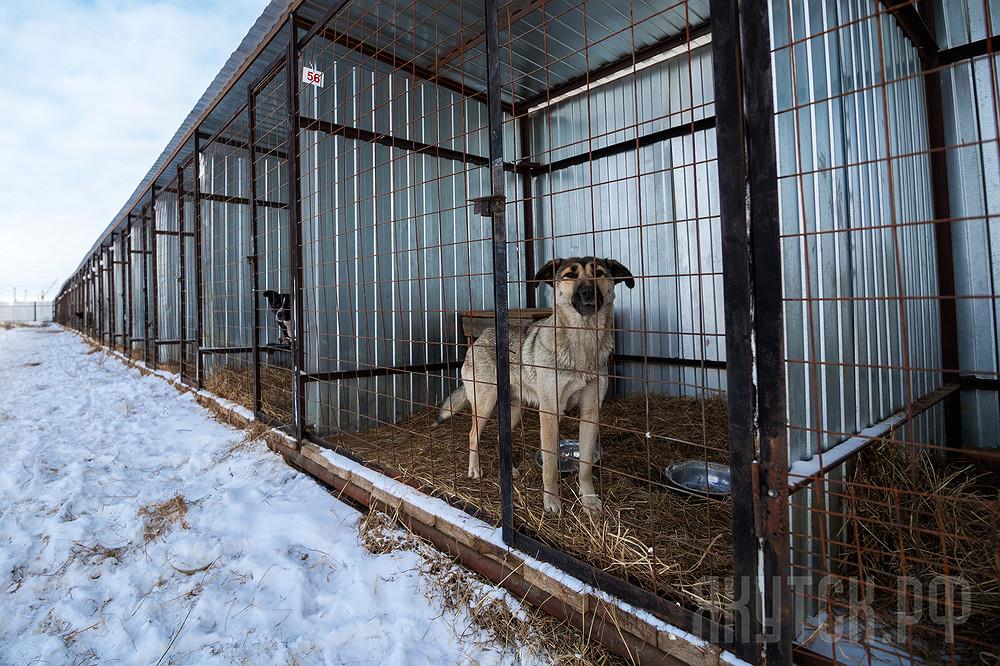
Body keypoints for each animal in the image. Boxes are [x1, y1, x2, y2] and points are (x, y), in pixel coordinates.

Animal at [436, 255, 632, 512]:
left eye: (598, 273)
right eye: (570, 275)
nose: (588, 292)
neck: (582, 340)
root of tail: (481, 337)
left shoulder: (591, 413)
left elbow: (586, 465)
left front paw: (589, 500)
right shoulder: (549, 412)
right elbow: (549, 463)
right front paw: (551, 501)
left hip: (514, 410)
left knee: (500, 438)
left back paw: (508, 472)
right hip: (485, 404)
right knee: (471, 435)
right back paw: (475, 469)